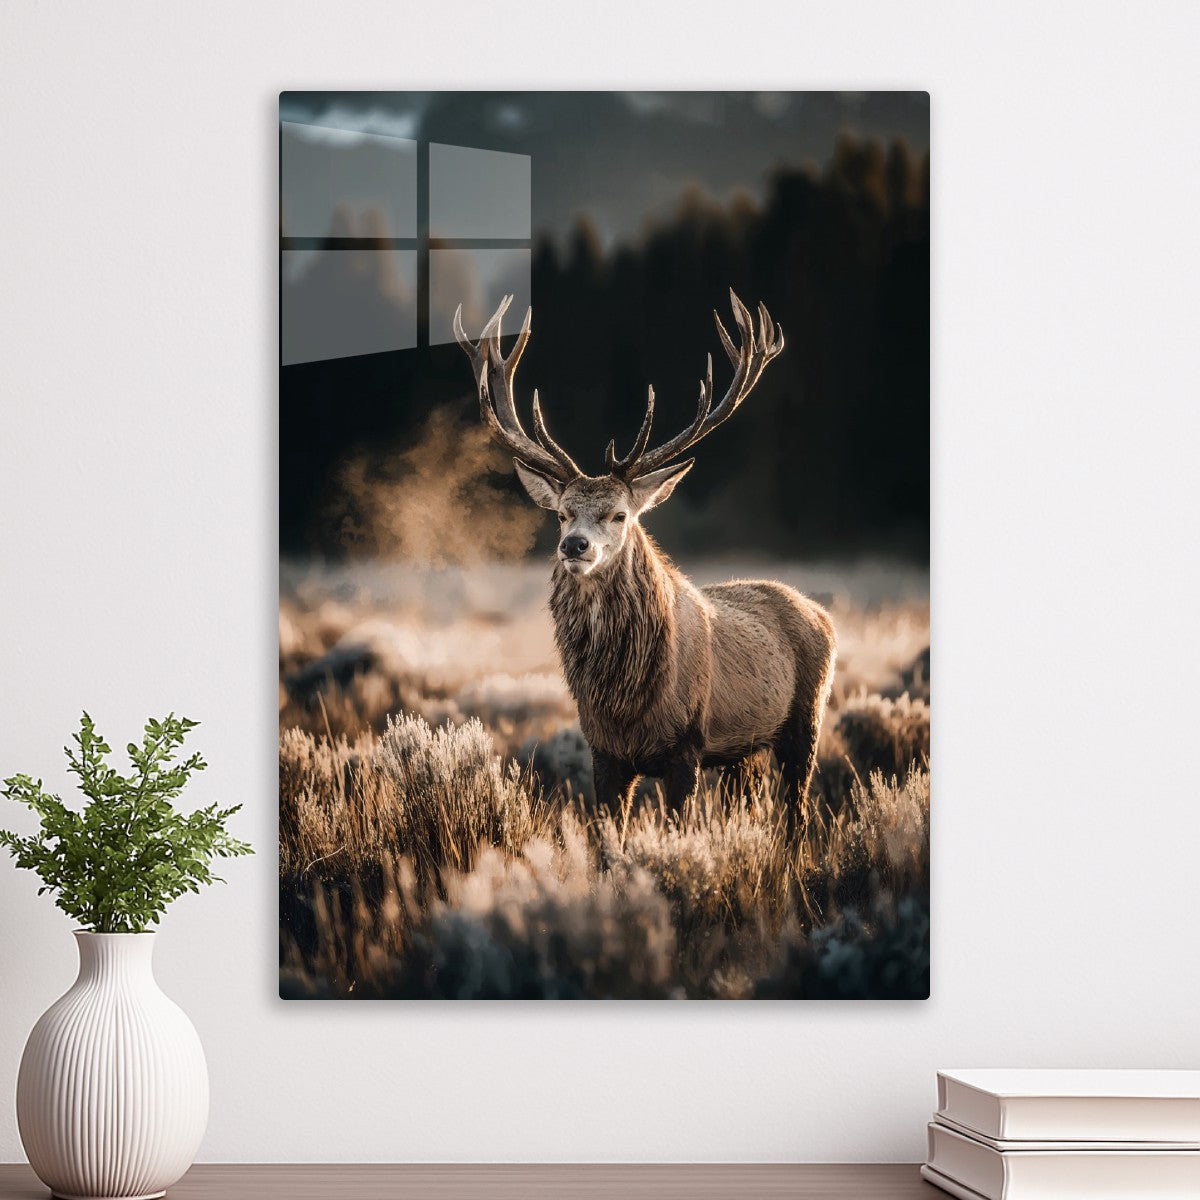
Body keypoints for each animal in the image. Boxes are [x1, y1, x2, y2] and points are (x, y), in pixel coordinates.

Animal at [453, 289, 836, 821]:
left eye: (619, 514)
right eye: (562, 514)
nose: (574, 545)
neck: (626, 704)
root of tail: (821, 614)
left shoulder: (687, 745)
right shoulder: (603, 752)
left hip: (807, 719)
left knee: (797, 812)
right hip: (745, 753)